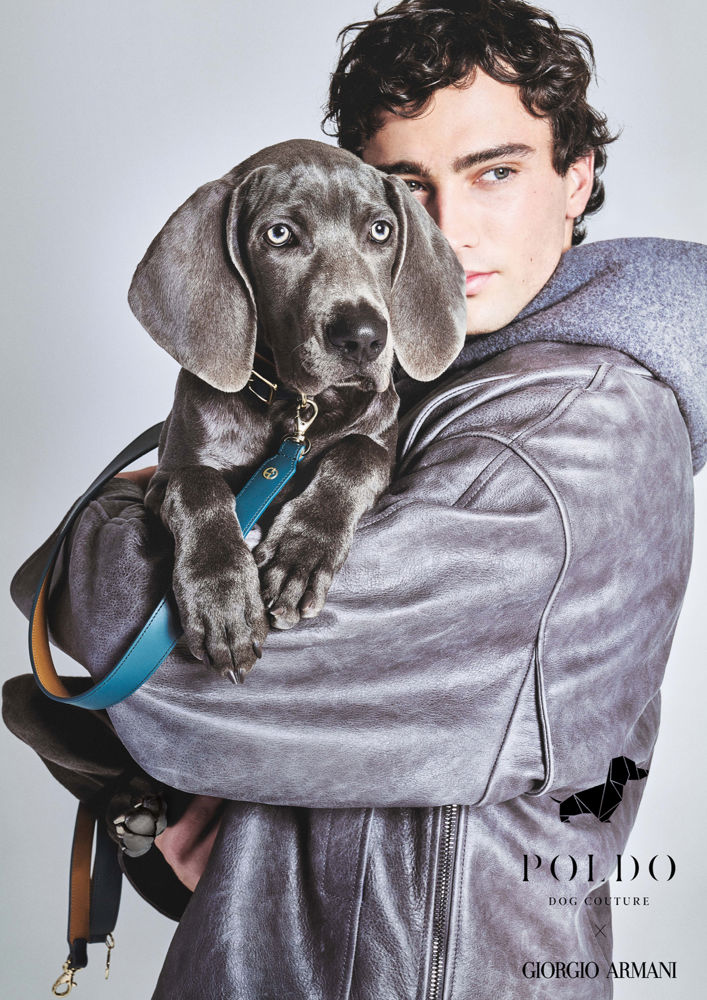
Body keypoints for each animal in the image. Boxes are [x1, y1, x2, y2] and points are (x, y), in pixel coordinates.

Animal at [127, 139, 466, 686]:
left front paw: (300, 554)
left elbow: (358, 454)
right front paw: (223, 598)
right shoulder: (165, 478)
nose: (363, 337)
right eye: (280, 234)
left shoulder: (380, 445)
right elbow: (196, 486)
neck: (298, 407)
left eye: (380, 230)